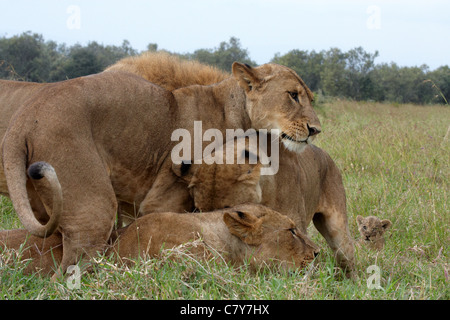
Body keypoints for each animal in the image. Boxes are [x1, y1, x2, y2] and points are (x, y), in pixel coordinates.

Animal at [1, 53, 322, 276]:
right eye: (293, 95)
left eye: (310, 97)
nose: (315, 129)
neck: (233, 112)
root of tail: (23, 120)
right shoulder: (161, 200)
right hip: (93, 207)